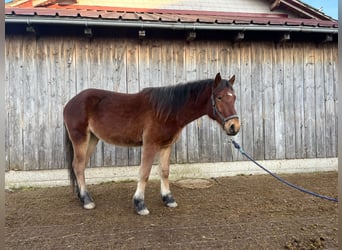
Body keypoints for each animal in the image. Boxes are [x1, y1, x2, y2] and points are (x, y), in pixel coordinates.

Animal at [64, 72, 240, 215]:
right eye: (219, 97)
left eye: (234, 97)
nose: (234, 127)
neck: (168, 110)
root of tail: (70, 103)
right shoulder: (150, 144)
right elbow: (144, 173)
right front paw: (140, 204)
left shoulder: (166, 145)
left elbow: (164, 171)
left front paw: (168, 199)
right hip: (80, 138)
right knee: (78, 166)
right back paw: (87, 201)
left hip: (92, 139)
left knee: (80, 166)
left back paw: (83, 197)